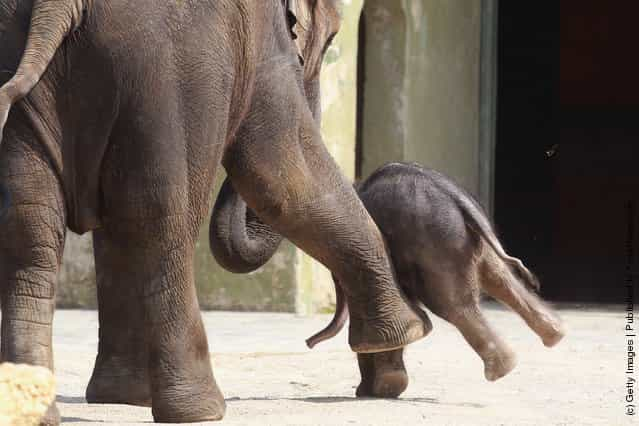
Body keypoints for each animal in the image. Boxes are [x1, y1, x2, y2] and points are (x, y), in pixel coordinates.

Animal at [1, 0, 430, 422]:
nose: (311, 340)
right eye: (330, 39)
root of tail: (57, 8)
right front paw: (399, 343)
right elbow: (283, 169)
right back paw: (203, 410)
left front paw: (122, 397)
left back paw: (36, 407)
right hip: (158, 74)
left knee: (31, 230)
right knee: (160, 221)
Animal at [308, 164, 564, 400]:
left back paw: (500, 369)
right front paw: (386, 387)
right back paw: (553, 336)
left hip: (435, 245)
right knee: (499, 278)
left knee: (454, 304)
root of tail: (456, 196)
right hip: (463, 240)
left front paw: (377, 389)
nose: (309, 343)